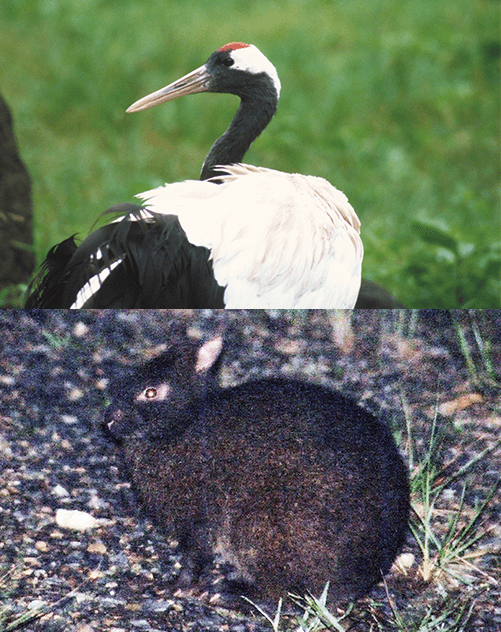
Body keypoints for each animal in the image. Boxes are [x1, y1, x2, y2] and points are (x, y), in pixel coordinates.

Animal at [103, 330, 408, 604]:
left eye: (151, 392)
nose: (109, 419)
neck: (184, 424)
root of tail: (367, 575)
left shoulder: (201, 515)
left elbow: (194, 556)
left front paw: (177, 586)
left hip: (262, 529)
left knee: (282, 591)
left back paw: (230, 592)